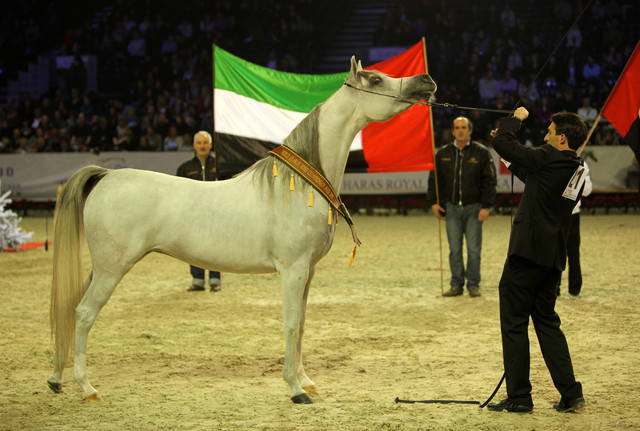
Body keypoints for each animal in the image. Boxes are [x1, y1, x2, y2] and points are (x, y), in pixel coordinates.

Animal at [48, 56, 437, 404]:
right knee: (84, 313)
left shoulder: (307, 272)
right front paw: (295, 390)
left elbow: (302, 324)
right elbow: (290, 324)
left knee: (69, 308)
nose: (426, 80)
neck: (297, 187)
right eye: (375, 79)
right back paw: (86, 388)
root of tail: (106, 175)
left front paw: (307, 382)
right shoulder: (293, 271)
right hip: (112, 268)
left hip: (101, 268)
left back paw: (56, 379)